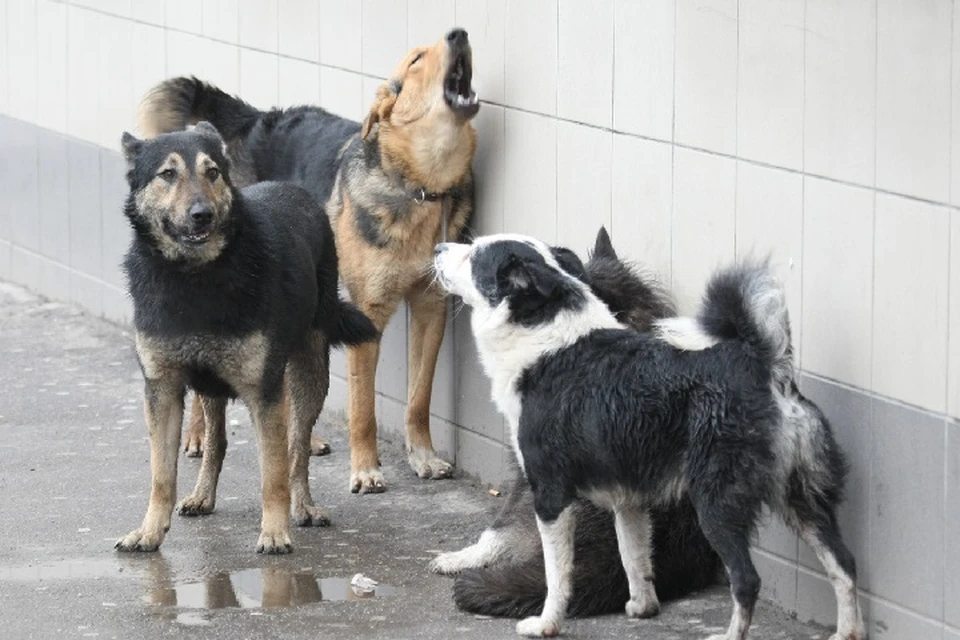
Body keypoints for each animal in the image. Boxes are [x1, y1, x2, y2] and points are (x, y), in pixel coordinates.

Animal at [114, 122, 376, 552]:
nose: (201, 215)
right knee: (217, 441)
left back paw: (303, 506)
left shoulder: (263, 392)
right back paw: (202, 495)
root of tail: (293, 188)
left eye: (212, 172)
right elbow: (161, 475)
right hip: (211, 384)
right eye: (167, 174)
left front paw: (274, 531)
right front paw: (150, 531)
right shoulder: (162, 390)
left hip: (308, 373)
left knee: (297, 447)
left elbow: (274, 472)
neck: (195, 277)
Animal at [137, 27, 478, 492]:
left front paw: (422, 456)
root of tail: (255, 119)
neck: (420, 186)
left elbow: (419, 398)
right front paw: (366, 468)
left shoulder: (431, 308)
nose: (459, 33)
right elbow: (363, 406)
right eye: (416, 59)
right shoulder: (368, 313)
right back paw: (197, 434)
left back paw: (301, 436)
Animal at [432, 234, 868, 640]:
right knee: (844, 564)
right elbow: (635, 558)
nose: (437, 248)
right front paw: (643, 608)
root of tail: (764, 366)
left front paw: (546, 624)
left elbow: (558, 575)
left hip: (717, 503)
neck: (545, 339)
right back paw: (848, 631)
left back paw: (731, 634)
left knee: (747, 580)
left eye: (473, 255)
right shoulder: (629, 499)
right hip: (802, 500)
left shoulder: (551, 495)